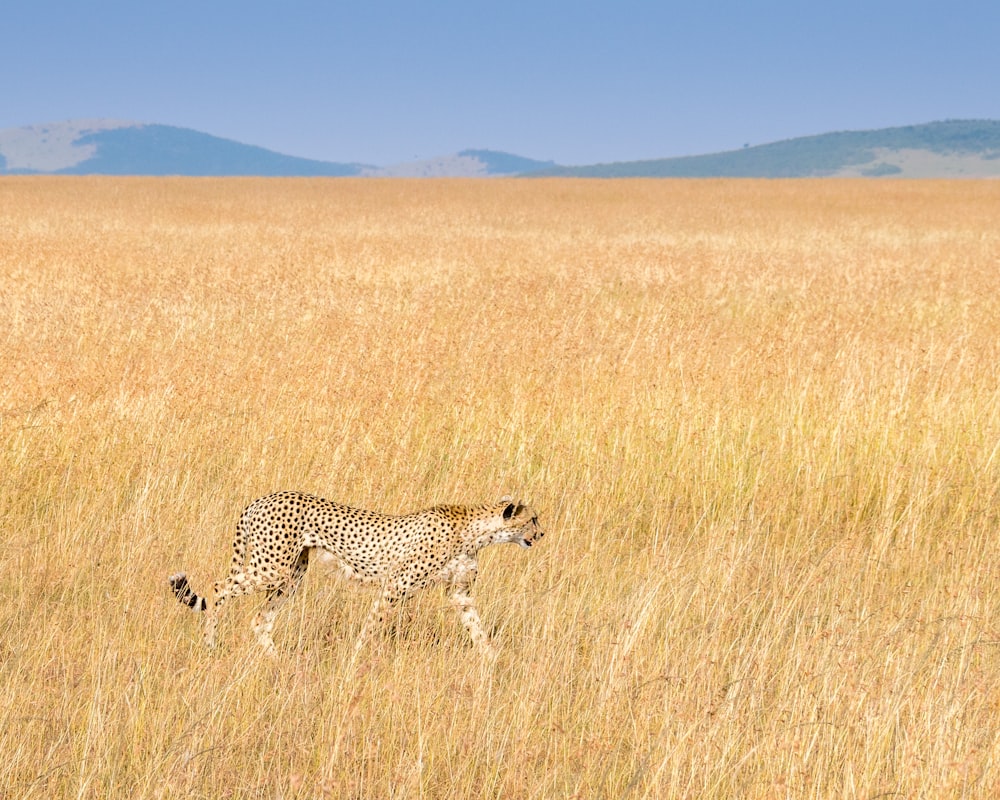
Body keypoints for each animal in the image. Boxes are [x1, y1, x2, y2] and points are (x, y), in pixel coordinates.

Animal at [168, 494, 544, 656]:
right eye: (532, 519)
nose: (541, 534)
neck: (474, 530)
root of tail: (259, 499)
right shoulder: (396, 586)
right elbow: (372, 627)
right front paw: (356, 659)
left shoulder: (460, 593)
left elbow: (477, 628)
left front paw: (491, 662)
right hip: (271, 568)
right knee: (218, 587)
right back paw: (210, 644)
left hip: (291, 575)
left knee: (260, 619)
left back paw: (276, 661)